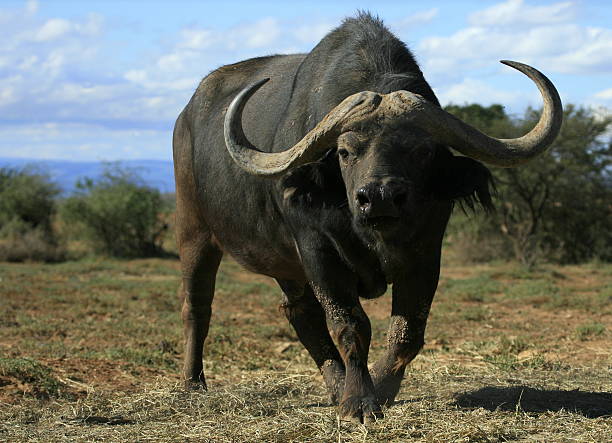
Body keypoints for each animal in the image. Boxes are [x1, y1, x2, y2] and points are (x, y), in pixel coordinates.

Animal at [172, 12, 560, 424]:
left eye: (422, 150)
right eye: (345, 151)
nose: (380, 198)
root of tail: (186, 116)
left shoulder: (427, 254)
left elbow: (407, 331)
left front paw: (382, 388)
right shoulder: (318, 252)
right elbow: (350, 325)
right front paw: (358, 401)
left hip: (283, 265)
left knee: (299, 312)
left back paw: (334, 385)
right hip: (194, 232)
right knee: (197, 304)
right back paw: (193, 383)